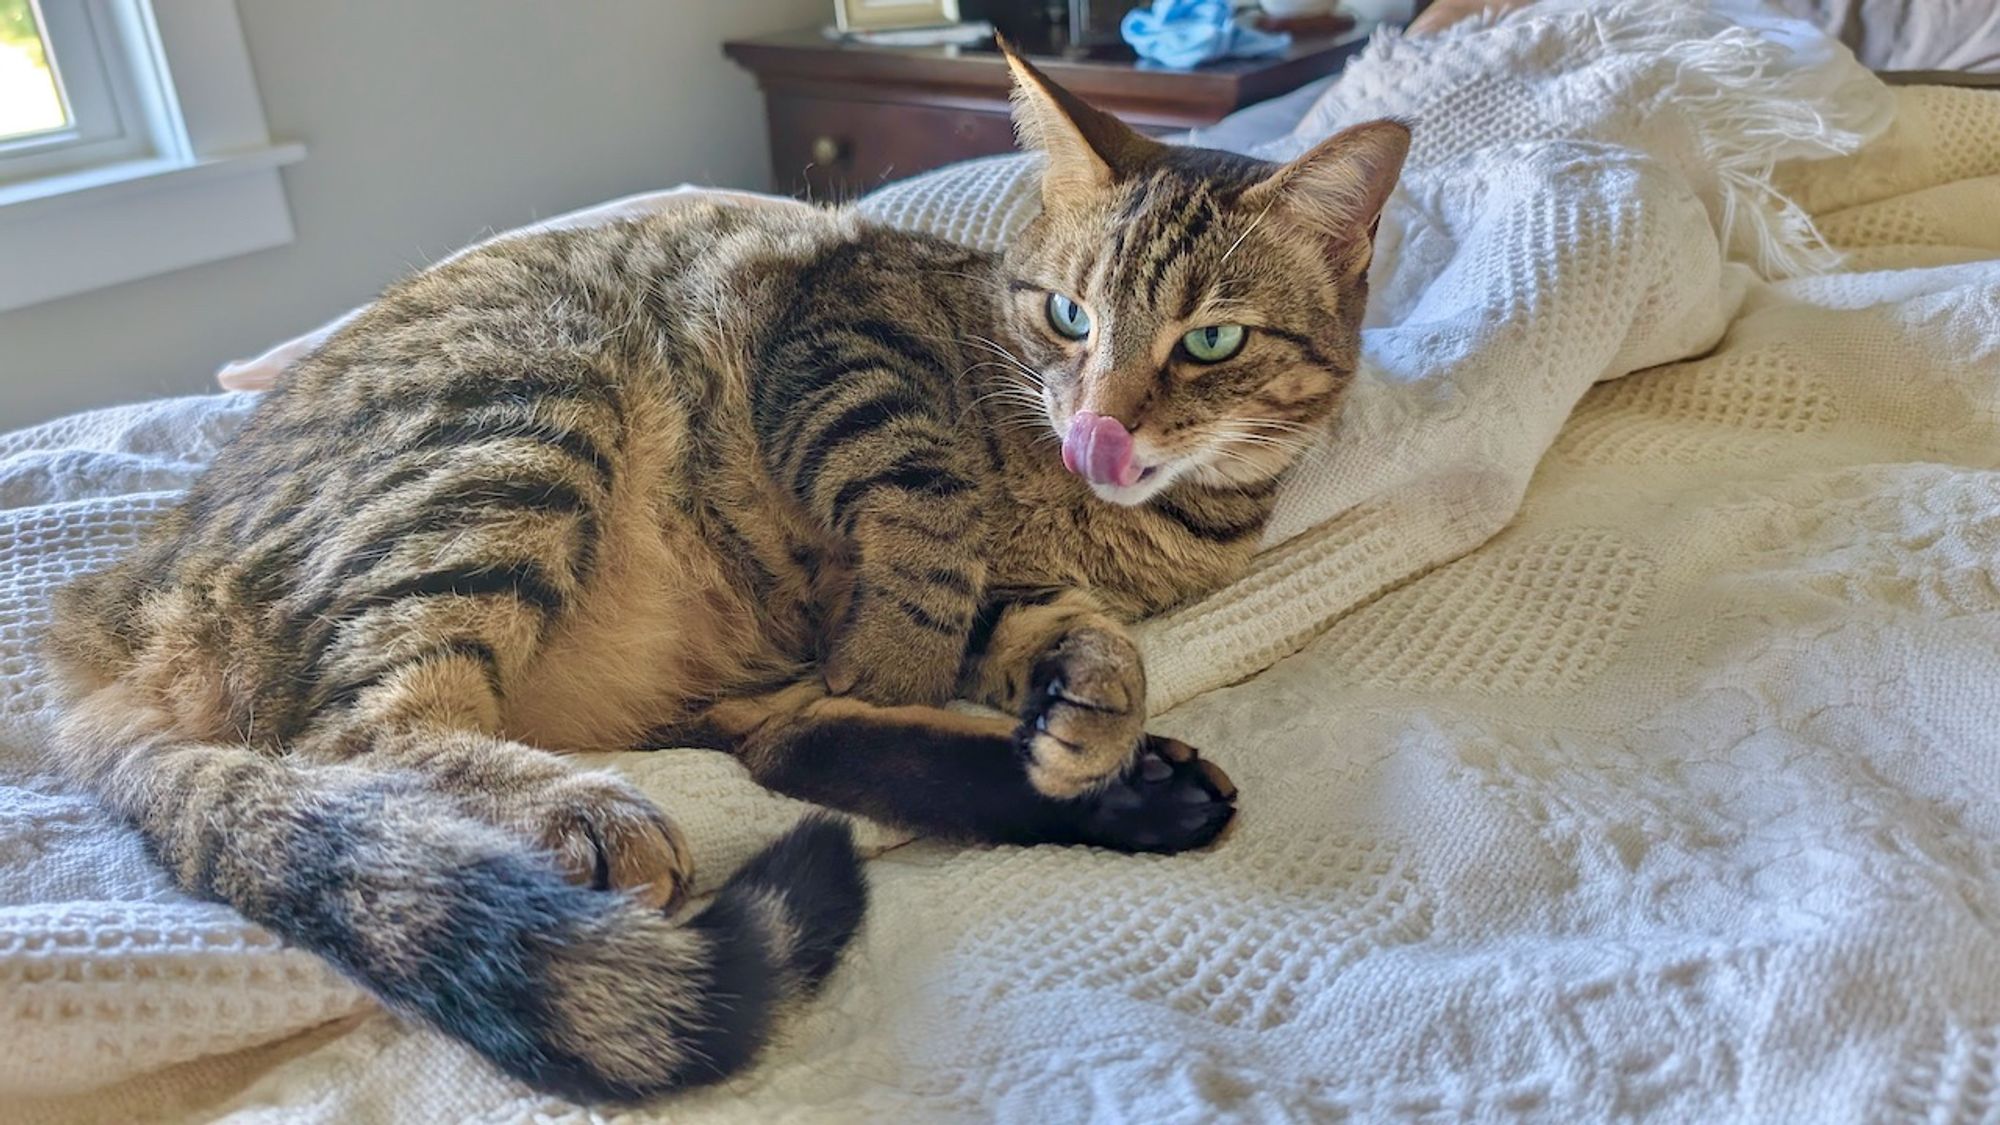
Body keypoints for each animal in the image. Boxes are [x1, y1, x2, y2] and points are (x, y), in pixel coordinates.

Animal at [43, 52, 1408, 1104]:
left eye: (1211, 341)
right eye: (1067, 318)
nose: (1101, 428)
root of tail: (104, 625)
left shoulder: (1025, 590)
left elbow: (1058, 630)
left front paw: (1094, 707)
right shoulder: (840, 347)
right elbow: (929, 519)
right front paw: (920, 648)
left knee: (795, 750)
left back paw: (1128, 795)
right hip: (518, 413)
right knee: (360, 728)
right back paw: (584, 812)